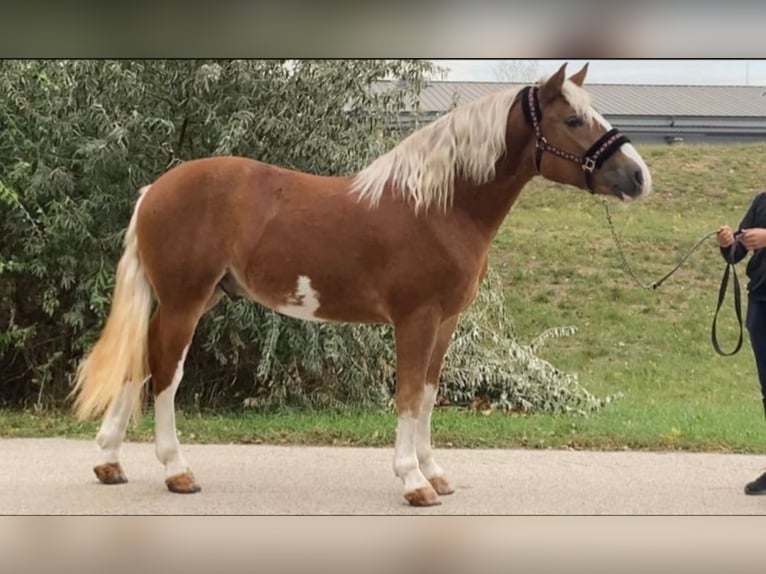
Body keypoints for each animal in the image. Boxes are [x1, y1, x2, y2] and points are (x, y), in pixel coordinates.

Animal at [70, 63, 656, 508]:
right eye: (574, 119)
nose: (638, 177)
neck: (440, 207)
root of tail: (155, 189)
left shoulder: (445, 322)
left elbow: (428, 394)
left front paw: (434, 471)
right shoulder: (415, 319)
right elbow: (407, 394)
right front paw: (414, 482)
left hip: (189, 298)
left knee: (142, 361)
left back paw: (109, 462)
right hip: (185, 300)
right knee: (166, 372)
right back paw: (177, 471)